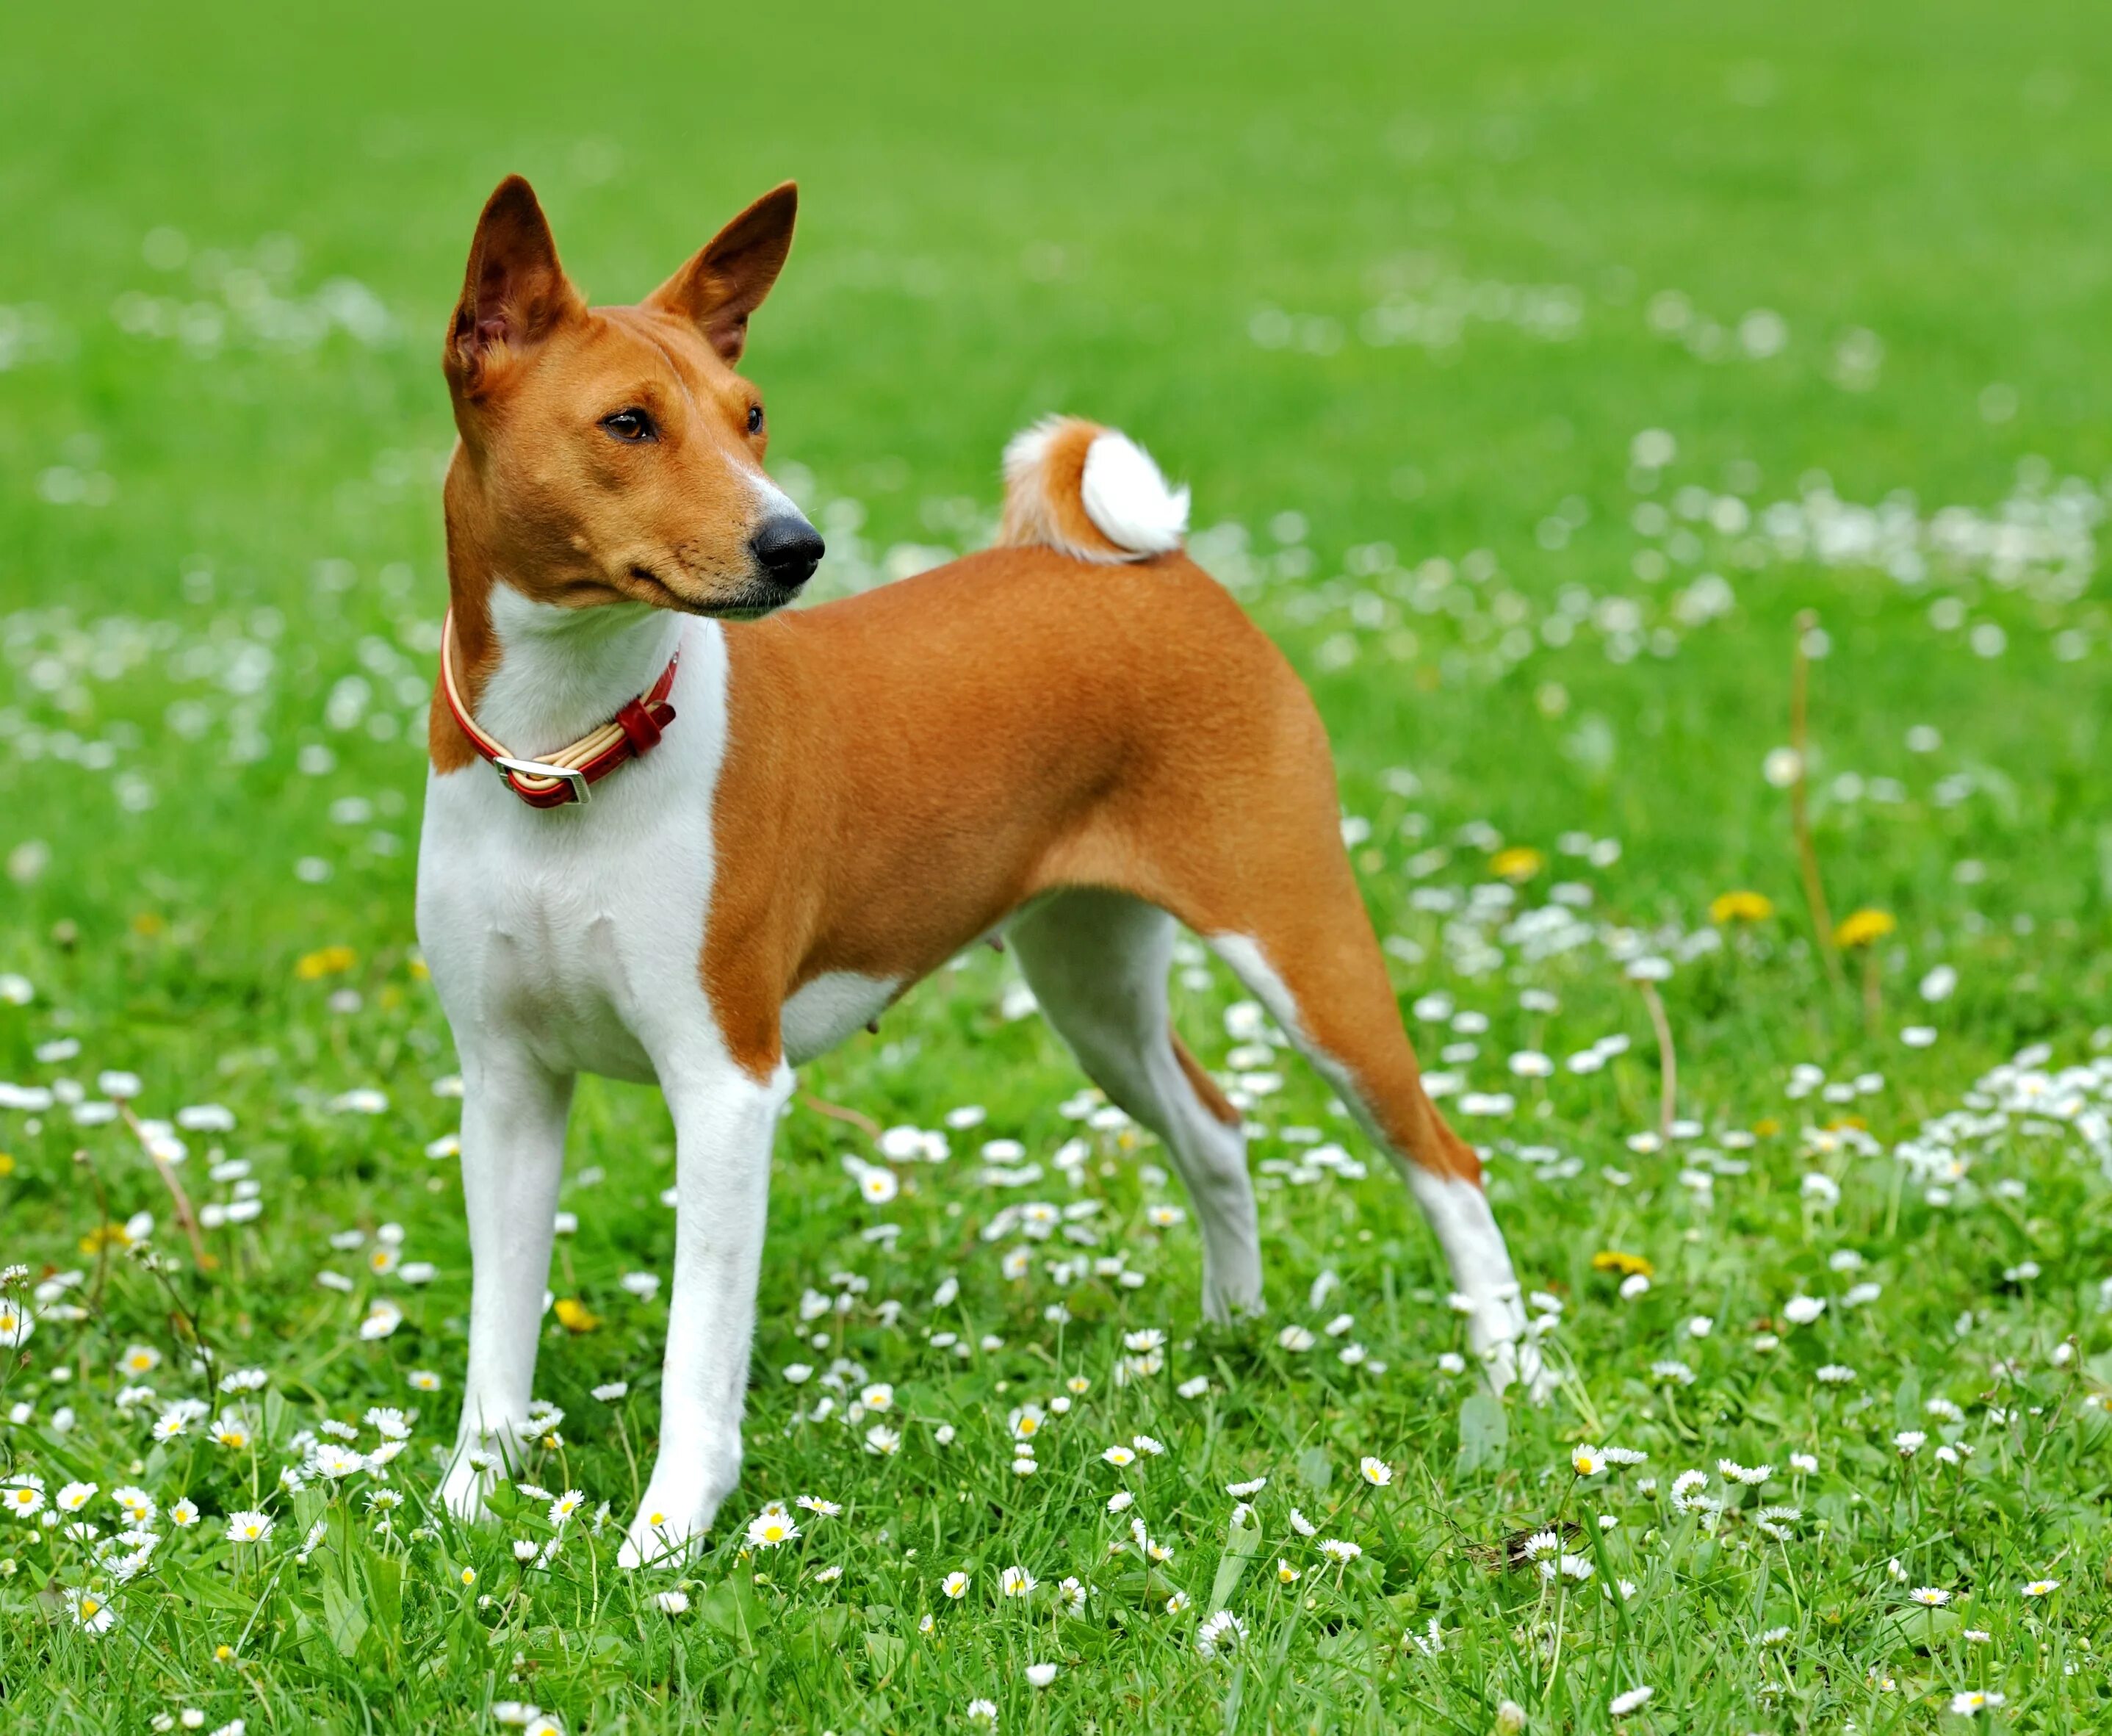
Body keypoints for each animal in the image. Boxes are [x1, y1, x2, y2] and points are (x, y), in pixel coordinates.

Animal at [416, 180, 1538, 1580]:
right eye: (629, 422)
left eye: (750, 415)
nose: (794, 544)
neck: (569, 757)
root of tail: (1158, 568)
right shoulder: (508, 1085)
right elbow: (496, 1335)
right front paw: (470, 1505)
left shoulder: (726, 1083)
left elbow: (694, 1355)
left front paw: (666, 1536)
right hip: (1094, 988)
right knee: (1216, 1127)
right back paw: (1228, 1338)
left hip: (1303, 950)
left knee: (1445, 1159)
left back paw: (1508, 1371)